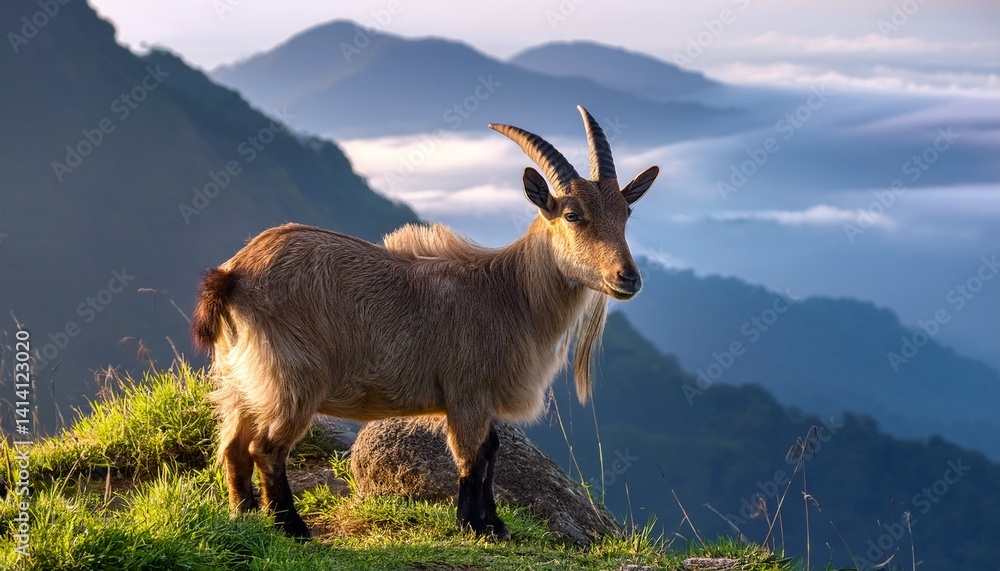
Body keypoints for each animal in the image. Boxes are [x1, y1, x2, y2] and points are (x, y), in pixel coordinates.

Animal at [191, 106, 659, 539]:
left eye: (626, 214)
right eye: (573, 215)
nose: (628, 278)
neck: (509, 294)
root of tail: (232, 275)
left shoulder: (480, 398)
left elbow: (491, 451)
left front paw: (495, 524)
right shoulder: (467, 392)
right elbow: (472, 456)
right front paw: (473, 524)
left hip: (242, 377)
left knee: (233, 445)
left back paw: (244, 513)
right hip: (291, 377)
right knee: (266, 447)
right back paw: (291, 526)